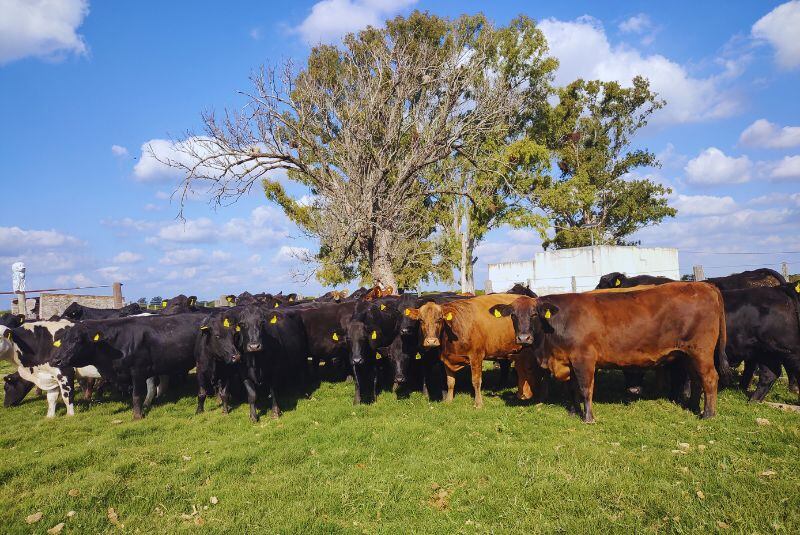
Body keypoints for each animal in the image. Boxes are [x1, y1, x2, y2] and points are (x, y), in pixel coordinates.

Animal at [51, 314, 203, 418]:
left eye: (77, 340)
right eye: (61, 340)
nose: (55, 360)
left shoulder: (138, 371)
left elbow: (136, 396)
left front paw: (137, 416)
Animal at [406, 294, 536, 406]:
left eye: (439, 319)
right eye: (421, 320)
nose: (431, 341)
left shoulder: (476, 356)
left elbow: (476, 381)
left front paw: (478, 403)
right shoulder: (447, 358)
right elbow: (450, 382)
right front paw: (448, 400)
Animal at [490, 282, 728, 426]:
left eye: (534, 314)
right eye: (512, 315)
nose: (523, 338)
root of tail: (703, 284)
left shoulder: (584, 358)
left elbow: (585, 388)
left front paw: (588, 417)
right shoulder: (569, 361)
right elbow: (572, 388)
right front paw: (573, 411)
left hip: (701, 351)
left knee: (710, 378)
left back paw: (708, 414)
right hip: (688, 354)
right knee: (696, 379)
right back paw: (693, 406)